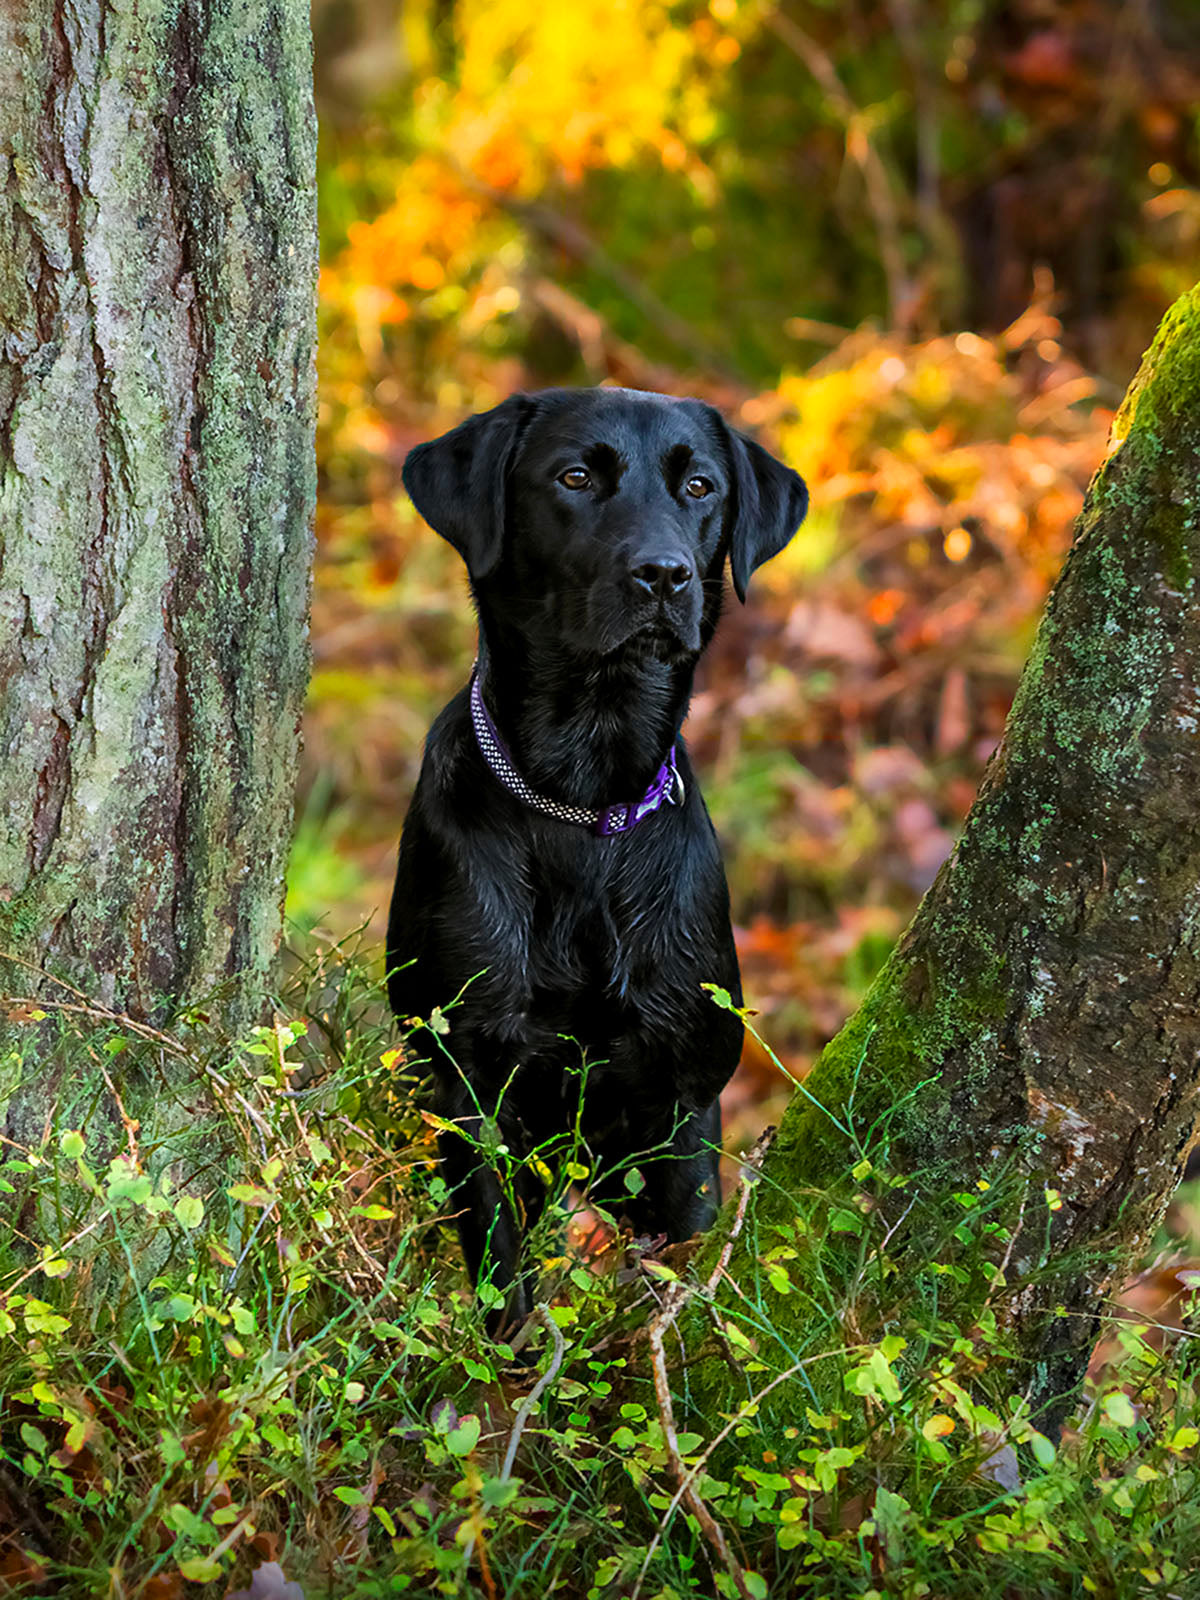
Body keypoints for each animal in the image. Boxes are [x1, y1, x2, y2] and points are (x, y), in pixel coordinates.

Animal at [390, 384, 812, 1324]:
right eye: (576, 477)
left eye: (699, 486)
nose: (664, 575)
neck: (583, 794)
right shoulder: (471, 1080)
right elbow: (503, 1271)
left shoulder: (683, 1093)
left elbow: (679, 1250)